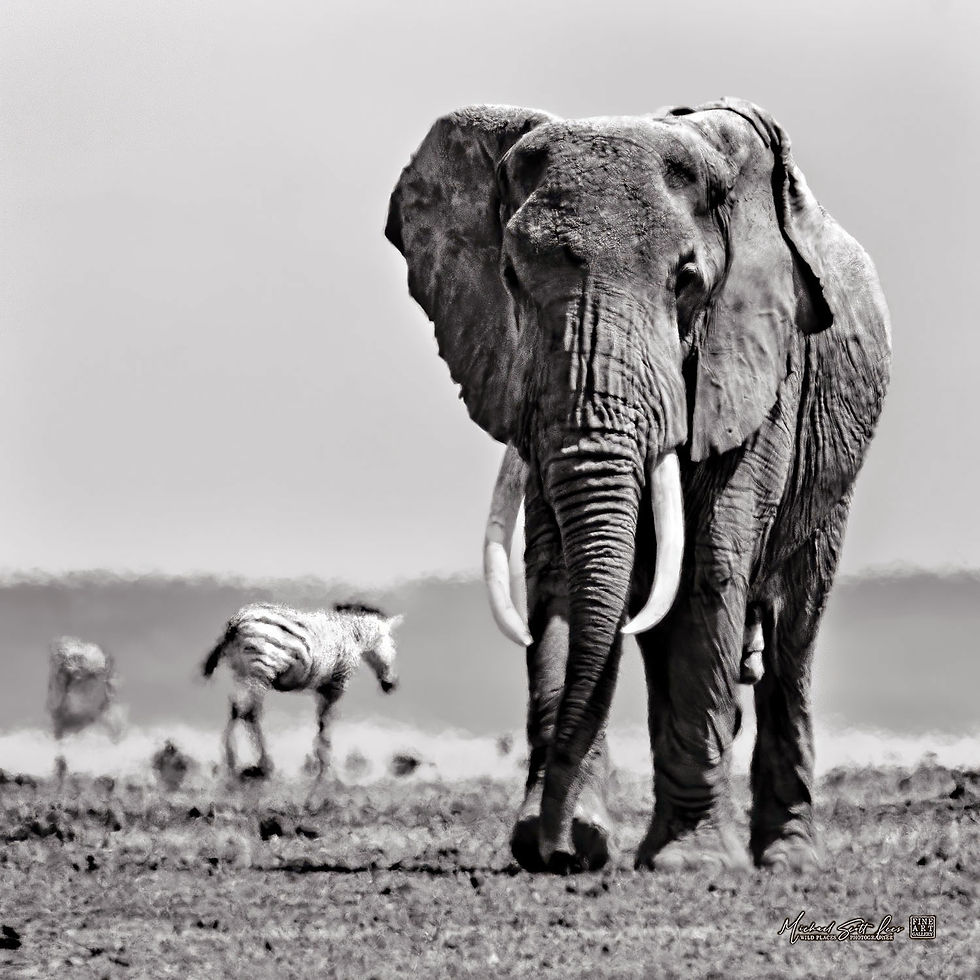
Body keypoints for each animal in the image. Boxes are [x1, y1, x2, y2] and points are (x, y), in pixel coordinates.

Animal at [201, 601, 402, 792]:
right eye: (393, 645)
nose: (391, 685)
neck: (352, 635)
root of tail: (238, 619)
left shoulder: (322, 688)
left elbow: (321, 723)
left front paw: (321, 768)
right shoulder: (336, 684)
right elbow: (326, 725)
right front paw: (326, 774)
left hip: (244, 672)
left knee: (241, 709)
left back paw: (243, 766)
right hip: (262, 668)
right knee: (247, 710)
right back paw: (246, 765)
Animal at [386, 99, 890, 873]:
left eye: (686, 281)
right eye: (510, 276)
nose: (556, 848)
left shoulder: (752, 367)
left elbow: (710, 569)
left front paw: (689, 863)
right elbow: (561, 570)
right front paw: (569, 841)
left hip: (834, 467)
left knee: (793, 630)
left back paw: (788, 858)